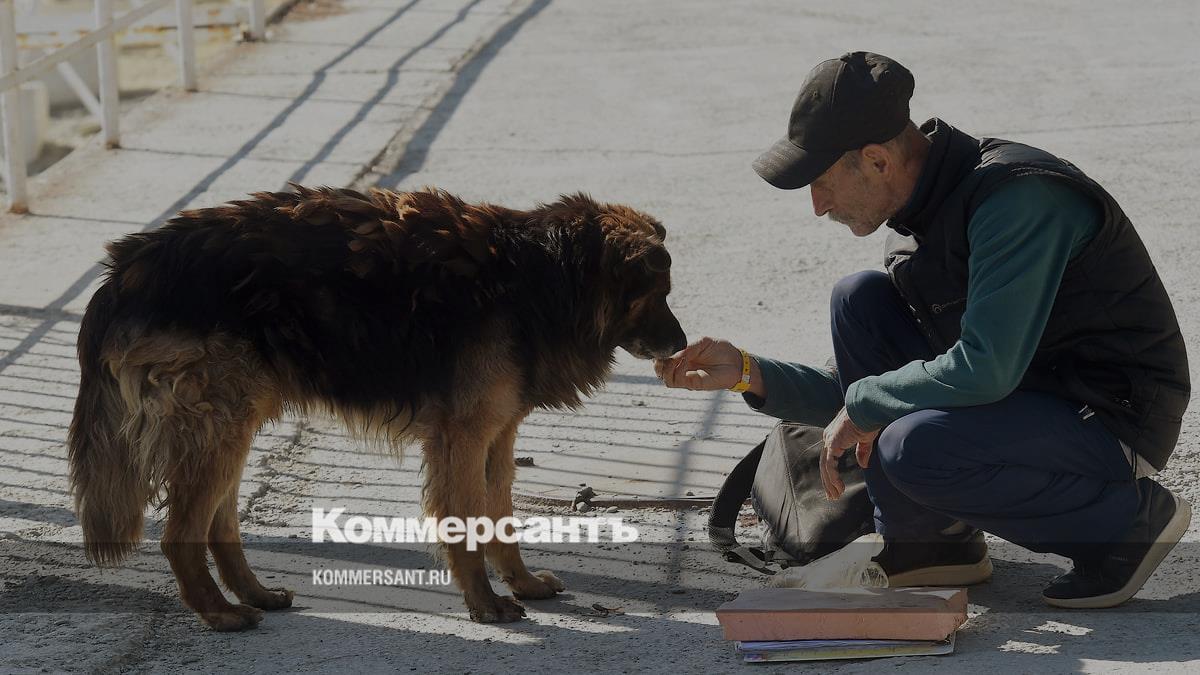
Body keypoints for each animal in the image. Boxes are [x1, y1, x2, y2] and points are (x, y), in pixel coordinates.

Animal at [67, 184, 687, 631]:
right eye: (657, 293)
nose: (682, 344)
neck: (542, 275)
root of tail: (125, 269)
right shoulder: (464, 436)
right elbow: (467, 522)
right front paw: (486, 605)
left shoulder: (497, 433)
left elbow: (500, 518)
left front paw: (523, 583)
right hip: (218, 425)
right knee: (180, 533)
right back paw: (219, 613)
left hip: (231, 424)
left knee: (219, 524)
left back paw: (254, 594)